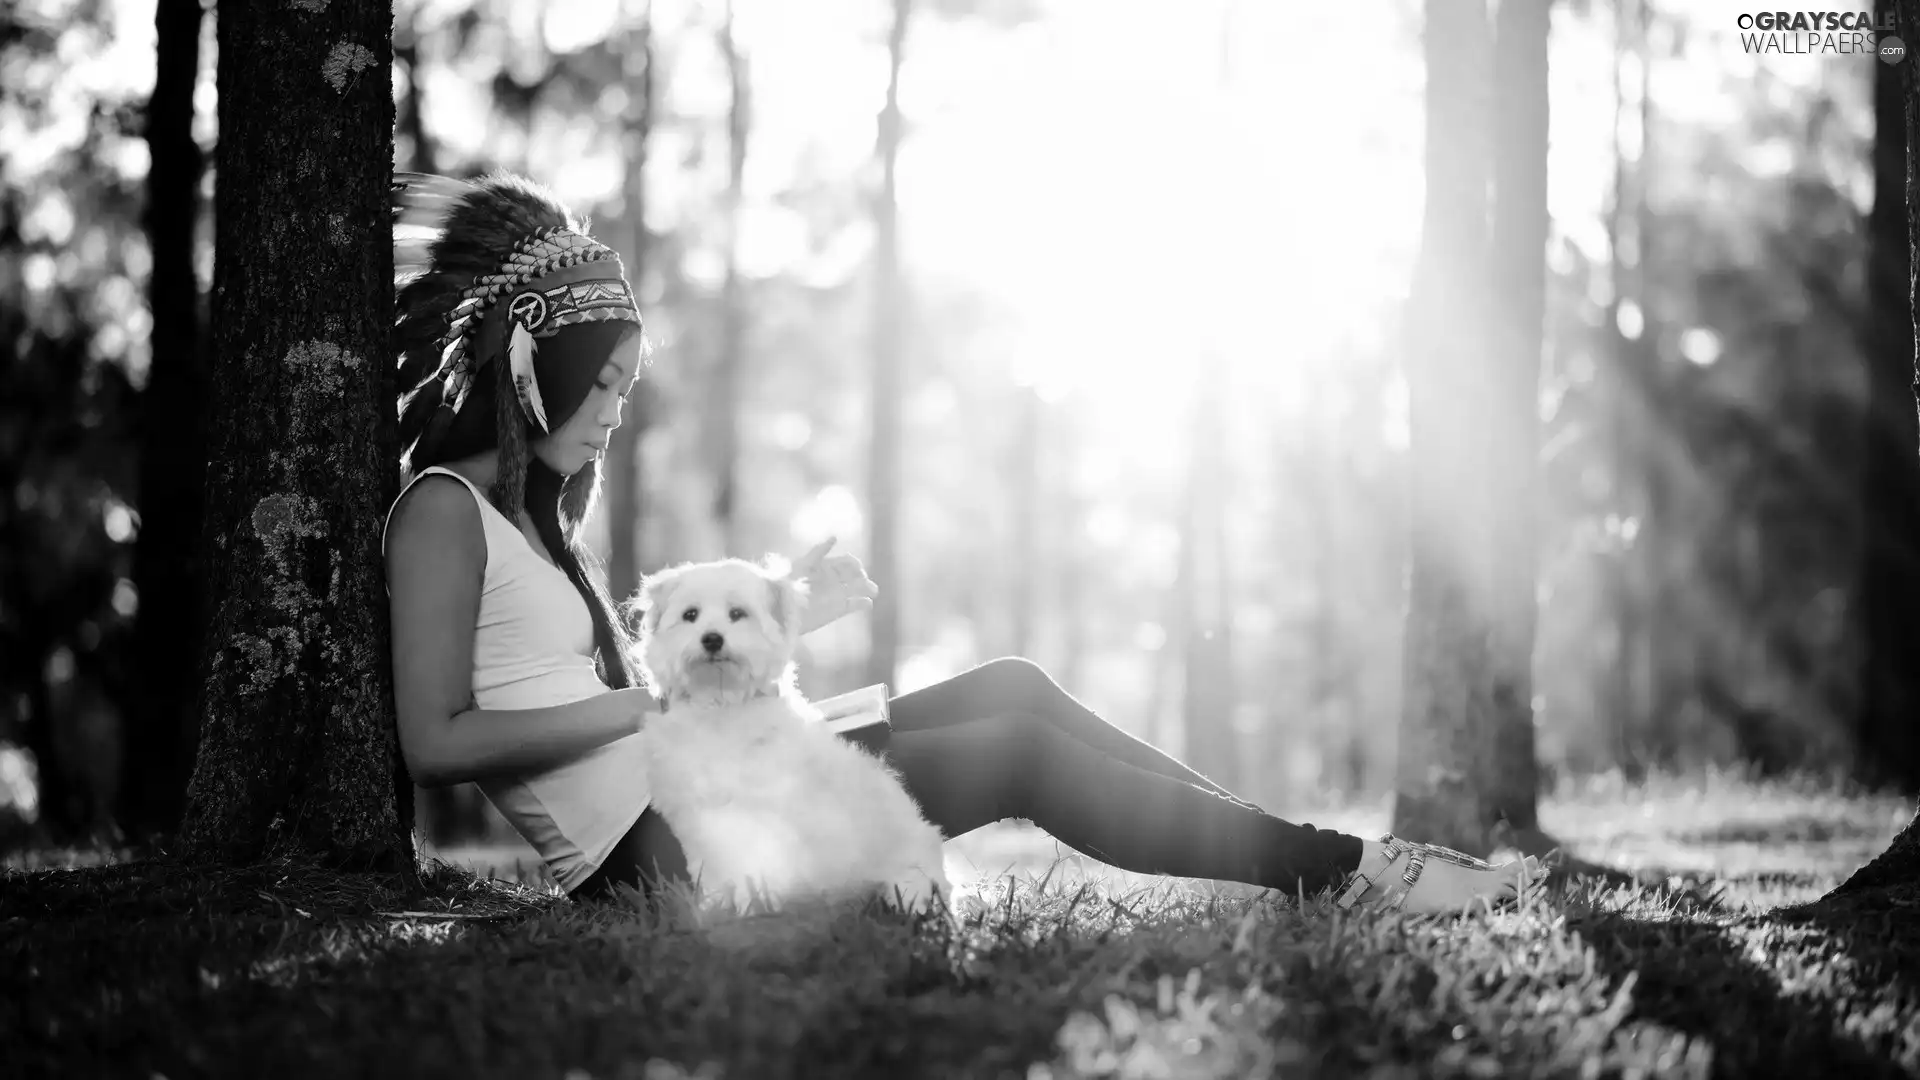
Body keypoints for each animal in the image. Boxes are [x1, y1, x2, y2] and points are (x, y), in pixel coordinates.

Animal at [629, 553, 952, 907]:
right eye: (690, 615)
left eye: (737, 614)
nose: (712, 639)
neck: (720, 705)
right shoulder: (697, 817)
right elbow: (714, 868)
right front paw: (718, 907)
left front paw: (755, 904)